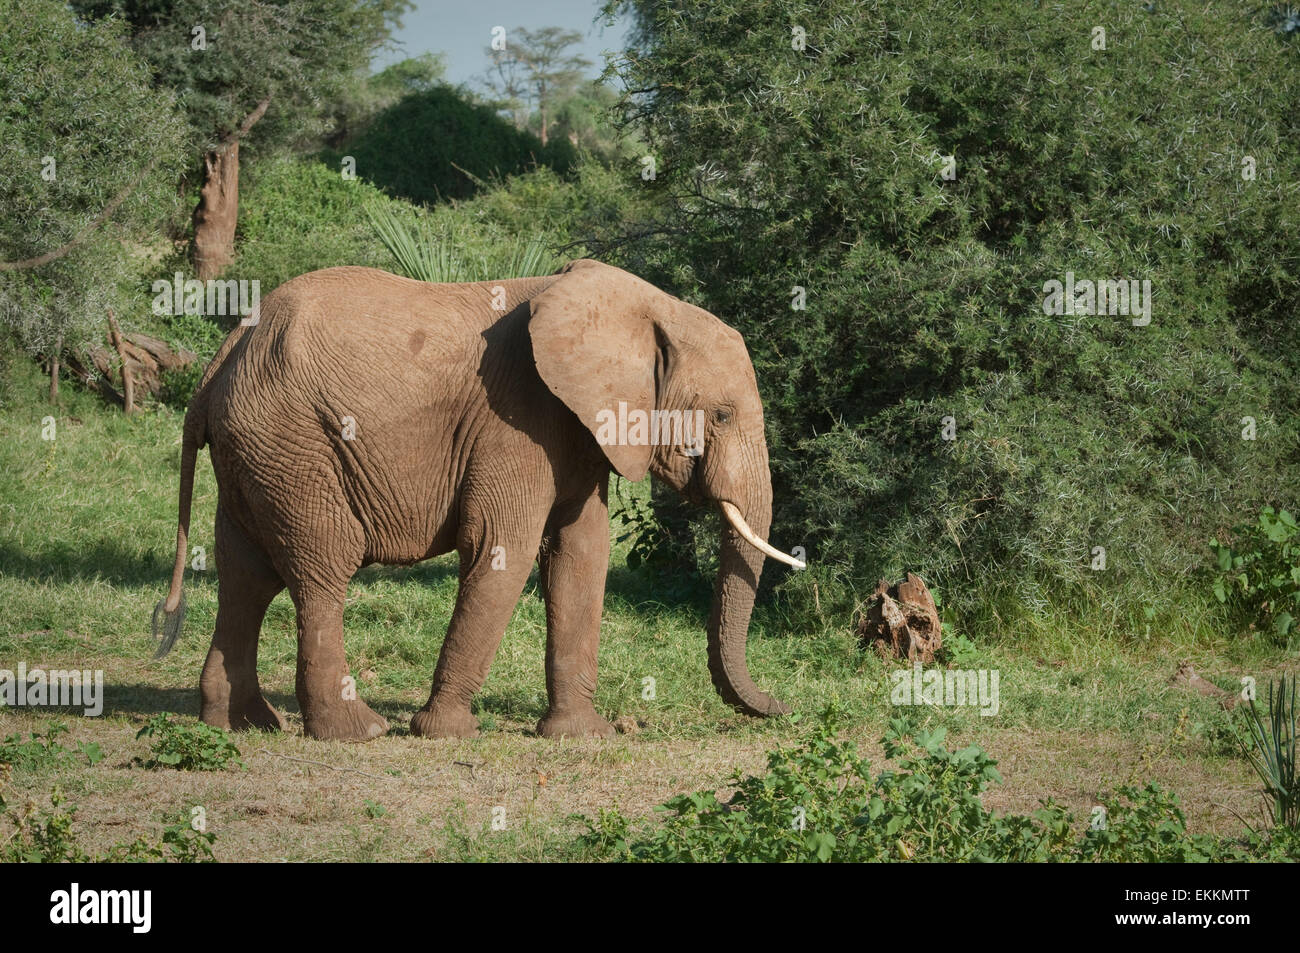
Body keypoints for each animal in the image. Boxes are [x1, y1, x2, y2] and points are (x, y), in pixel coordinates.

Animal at [152, 256, 800, 738]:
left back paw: (239, 724)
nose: (783, 706)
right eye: (722, 415)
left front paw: (580, 736)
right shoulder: (515, 420)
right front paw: (445, 733)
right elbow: (502, 548)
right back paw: (357, 731)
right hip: (293, 443)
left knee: (246, 574)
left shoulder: (578, 430)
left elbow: (581, 554)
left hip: (255, 453)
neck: (646, 308)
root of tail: (220, 361)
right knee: (321, 569)